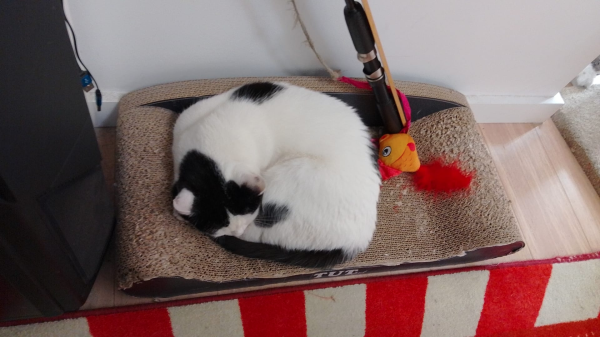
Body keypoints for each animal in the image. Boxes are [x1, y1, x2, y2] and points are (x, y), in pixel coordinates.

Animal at [173, 82, 380, 268]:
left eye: (245, 215)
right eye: (220, 225)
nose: (236, 232)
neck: (219, 132)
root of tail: (357, 242)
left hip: (288, 179)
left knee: (261, 235)